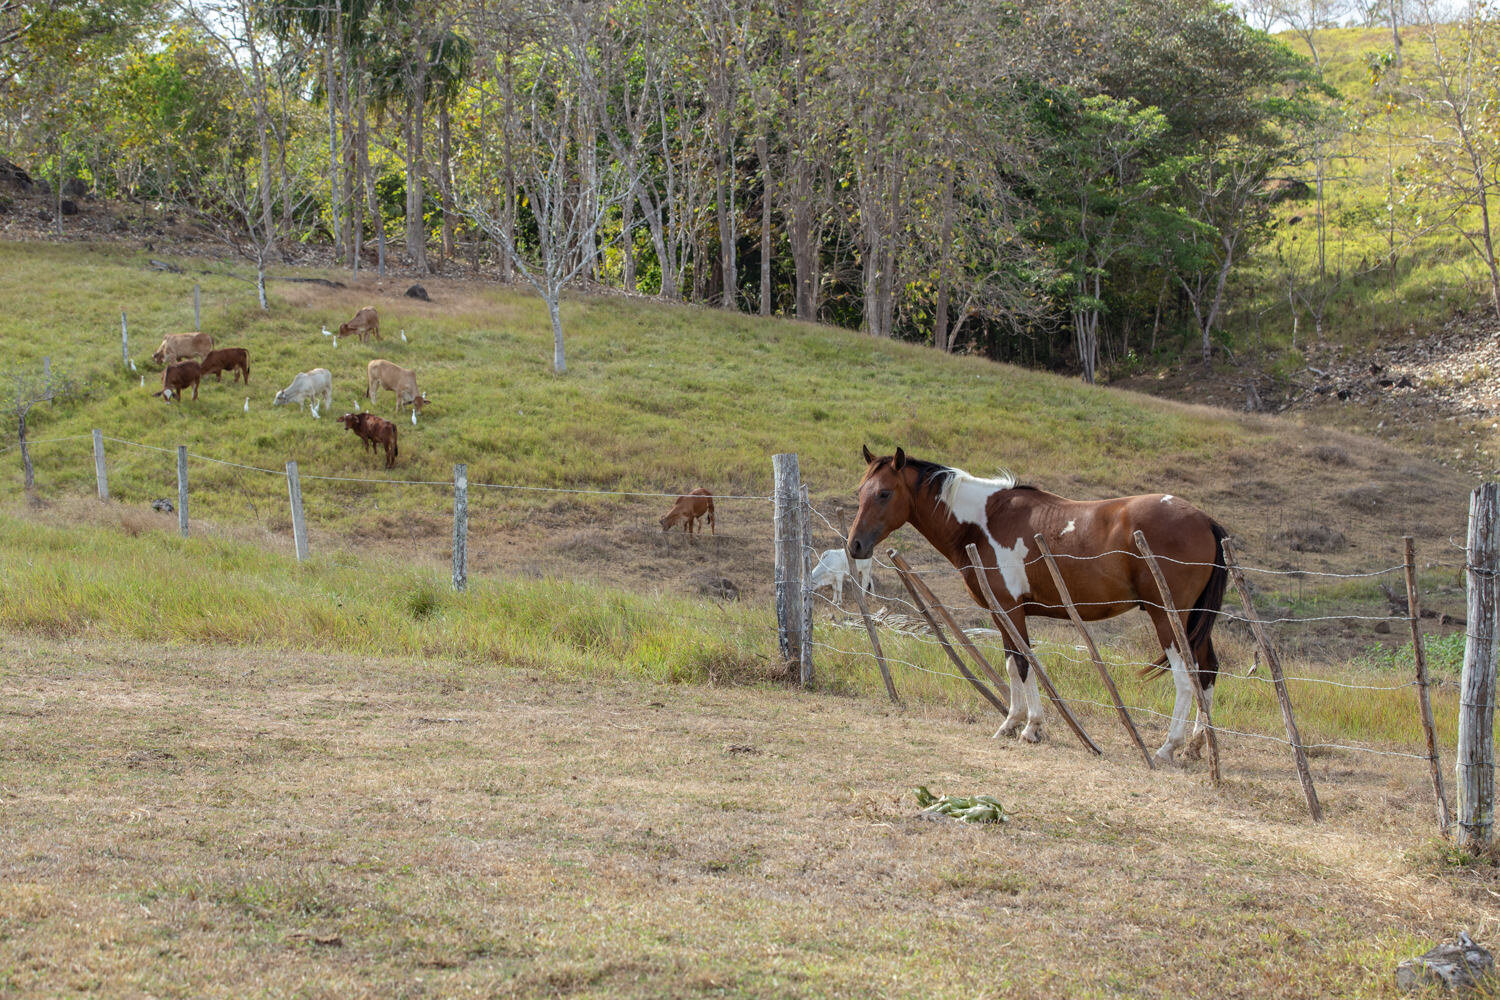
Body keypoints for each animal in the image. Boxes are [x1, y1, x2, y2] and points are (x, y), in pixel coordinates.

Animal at [852, 446, 1224, 767]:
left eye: (884, 493)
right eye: (860, 492)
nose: (855, 545)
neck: (984, 522)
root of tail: (1205, 519)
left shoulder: (1010, 610)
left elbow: (1022, 662)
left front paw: (1029, 727)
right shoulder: (1000, 613)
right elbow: (1011, 663)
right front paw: (1013, 723)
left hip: (1168, 619)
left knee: (1185, 679)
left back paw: (1167, 748)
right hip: (1192, 623)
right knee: (1207, 672)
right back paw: (1195, 746)